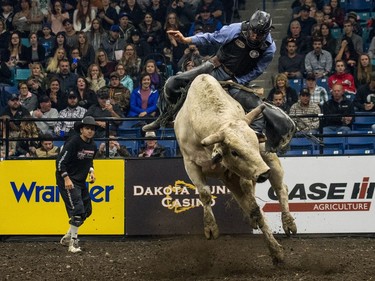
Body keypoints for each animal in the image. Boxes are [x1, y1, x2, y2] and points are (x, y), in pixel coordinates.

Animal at [175, 73, 298, 264]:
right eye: (234, 151)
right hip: (229, 177)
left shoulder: (245, 172)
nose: (264, 174)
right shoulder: (190, 164)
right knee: (243, 198)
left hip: (267, 160)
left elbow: (255, 207)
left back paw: (288, 223)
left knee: (280, 188)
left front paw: (276, 251)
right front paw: (210, 228)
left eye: (254, 141)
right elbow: (204, 193)